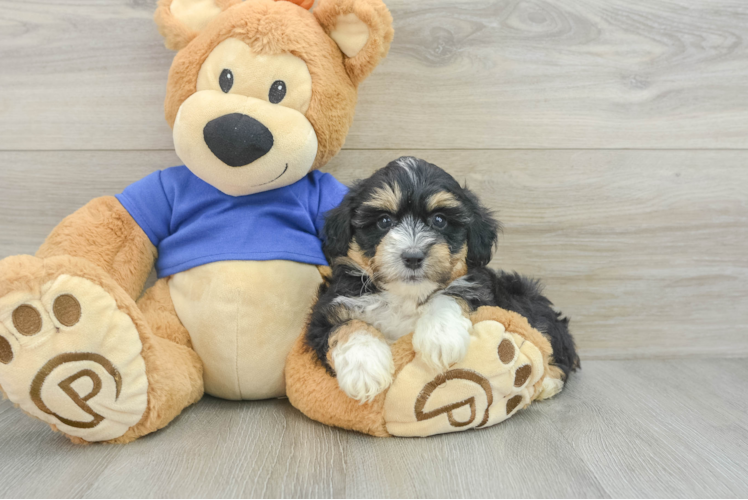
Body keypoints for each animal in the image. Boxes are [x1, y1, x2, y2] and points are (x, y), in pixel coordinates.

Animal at [304, 158, 580, 404]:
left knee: (555, 346)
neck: (406, 295)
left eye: (439, 220)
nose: (413, 256)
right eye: (383, 221)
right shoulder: (327, 309)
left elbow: (450, 294)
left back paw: (547, 382)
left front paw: (441, 337)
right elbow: (349, 325)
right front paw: (365, 369)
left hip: (528, 302)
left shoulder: (480, 291)